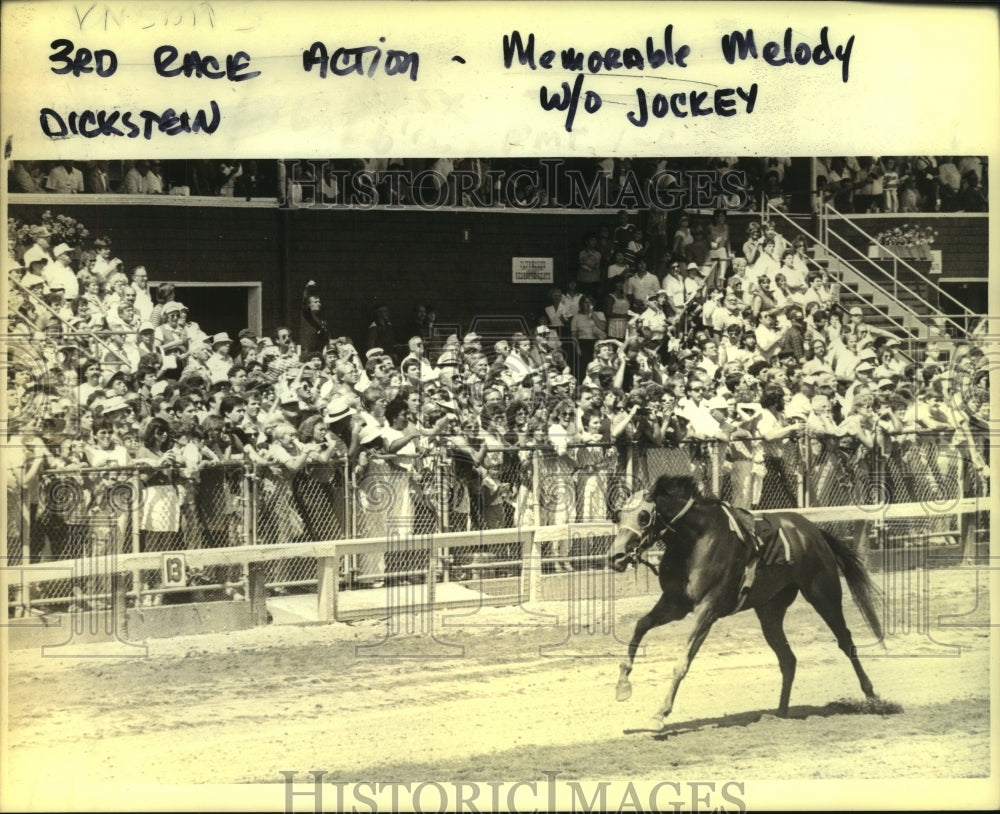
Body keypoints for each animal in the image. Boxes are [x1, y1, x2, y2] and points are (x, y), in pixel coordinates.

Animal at [608, 474, 884, 728]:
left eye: (644, 517)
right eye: (618, 516)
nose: (616, 556)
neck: (697, 539)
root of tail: (814, 532)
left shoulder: (707, 610)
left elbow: (683, 661)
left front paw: (660, 713)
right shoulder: (675, 604)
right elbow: (641, 625)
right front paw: (622, 684)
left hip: (823, 595)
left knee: (846, 641)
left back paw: (872, 696)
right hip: (770, 613)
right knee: (788, 659)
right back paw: (780, 712)